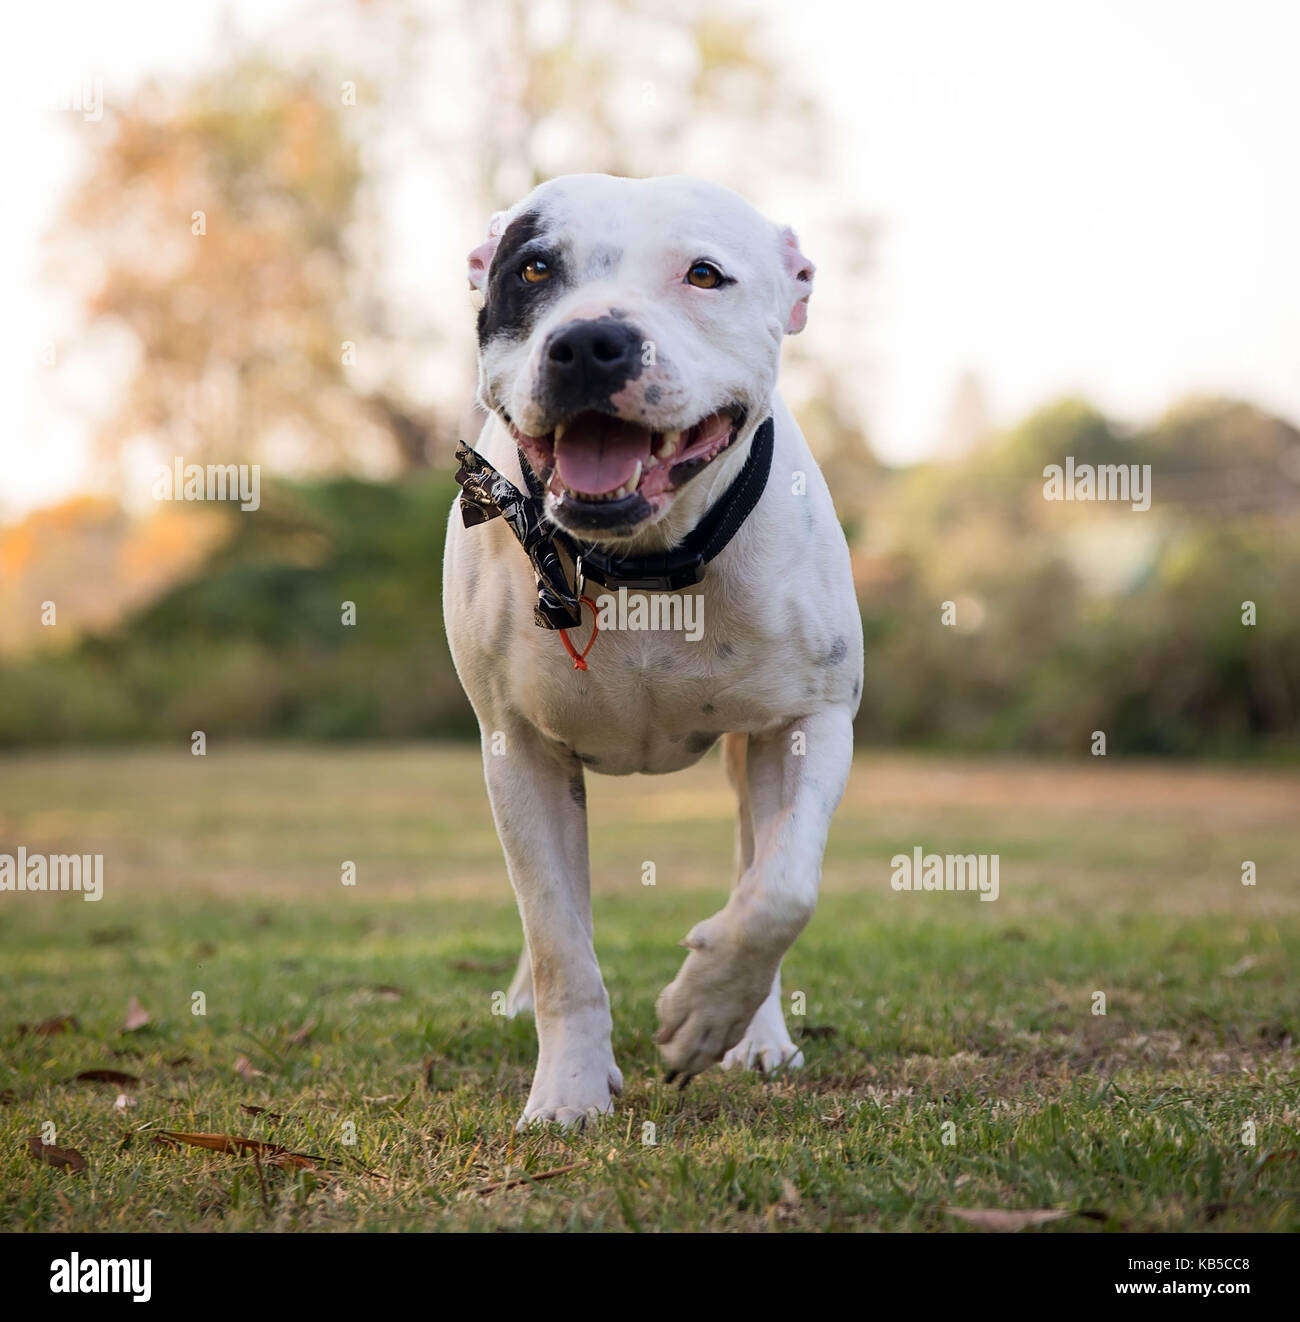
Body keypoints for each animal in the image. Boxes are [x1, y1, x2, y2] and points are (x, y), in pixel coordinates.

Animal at [444, 173, 862, 1126]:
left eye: (705, 274)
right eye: (532, 270)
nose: (589, 342)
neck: (641, 561)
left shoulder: (812, 720)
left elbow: (782, 889)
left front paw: (706, 1009)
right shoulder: (517, 750)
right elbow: (559, 939)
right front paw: (567, 1090)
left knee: (755, 863)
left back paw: (755, 1032)